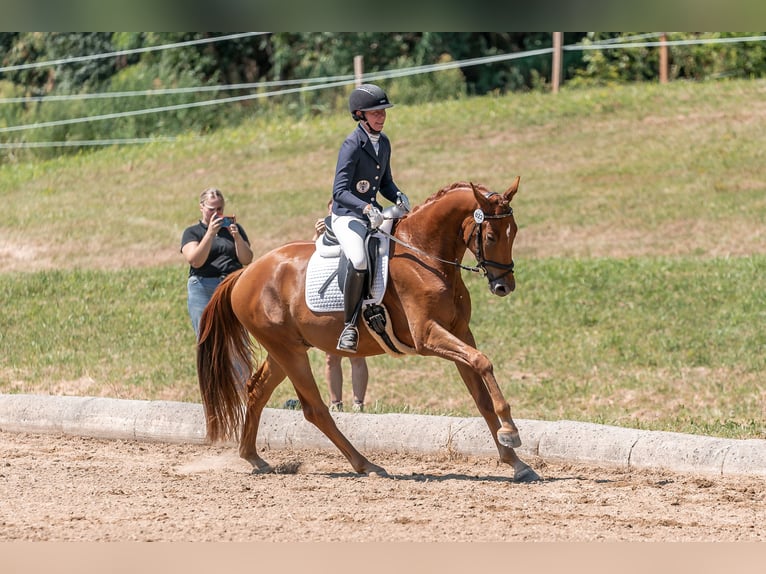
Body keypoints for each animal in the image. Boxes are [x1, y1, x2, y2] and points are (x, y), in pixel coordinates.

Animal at [201, 178, 544, 484]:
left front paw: (516, 462)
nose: (504, 286)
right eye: (491, 236)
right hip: (289, 351)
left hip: (285, 350)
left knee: (257, 390)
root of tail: (247, 271)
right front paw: (511, 430)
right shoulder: (427, 336)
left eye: (513, 232)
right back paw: (366, 465)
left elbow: (480, 394)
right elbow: (484, 361)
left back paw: (253, 457)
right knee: (315, 409)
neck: (425, 255)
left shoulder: (459, 332)